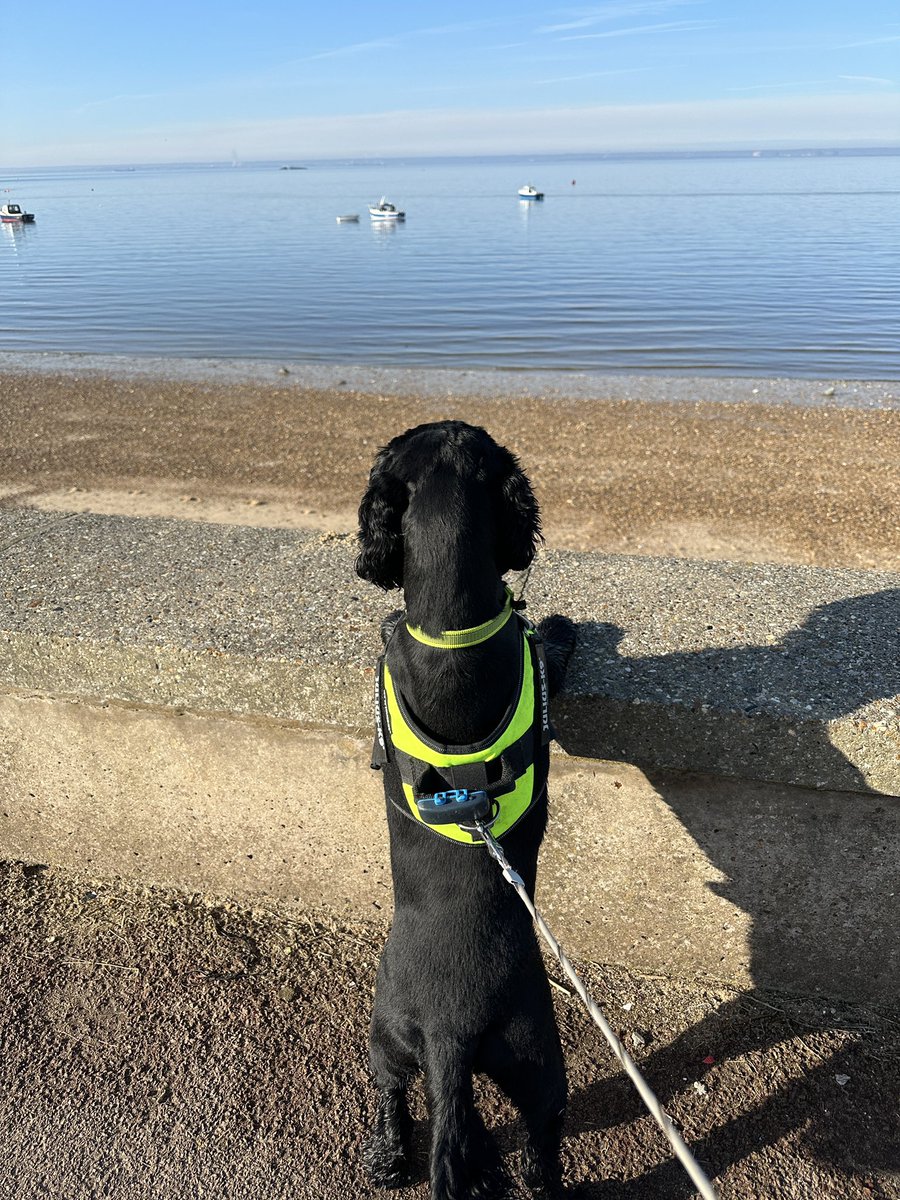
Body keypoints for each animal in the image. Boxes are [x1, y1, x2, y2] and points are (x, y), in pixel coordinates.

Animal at [357, 422, 578, 1200]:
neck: (449, 625)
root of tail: (450, 1031)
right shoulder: (538, 654)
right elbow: (555, 643)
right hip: (536, 1057)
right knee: (538, 1134)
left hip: (397, 1039)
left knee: (400, 1100)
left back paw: (390, 1160)